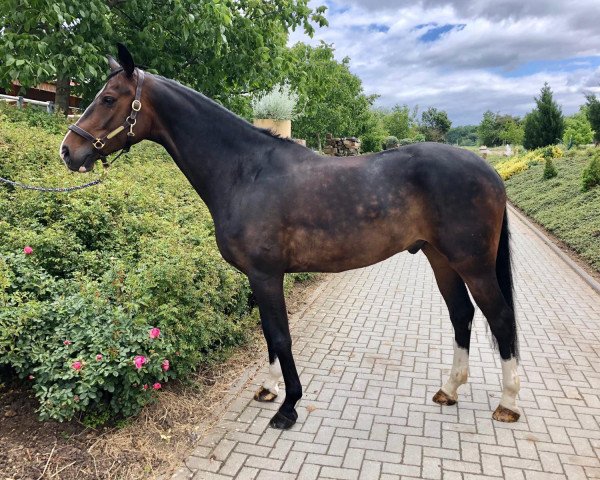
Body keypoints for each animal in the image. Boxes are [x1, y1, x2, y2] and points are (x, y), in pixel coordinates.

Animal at [62, 44, 520, 428]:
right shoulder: (258, 277)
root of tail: (489, 170)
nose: (69, 151)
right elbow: (268, 331)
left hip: (473, 264)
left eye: (109, 98)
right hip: (439, 258)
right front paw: (269, 389)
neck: (246, 172)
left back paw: (508, 402)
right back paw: (449, 389)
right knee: (461, 314)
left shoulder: (266, 274)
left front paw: (288, 406)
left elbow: (280, 334)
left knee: (499, 316)